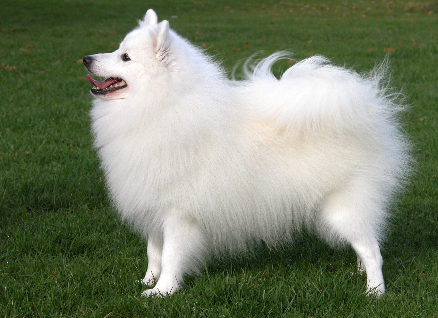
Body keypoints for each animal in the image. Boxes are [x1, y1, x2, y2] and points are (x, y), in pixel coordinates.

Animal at [84, 9, 408, 298]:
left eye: (125, 57)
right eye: (118, 49)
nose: (86, 59)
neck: (162, 106)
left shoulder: (178, 213)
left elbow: (172, 255)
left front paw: (163, 291)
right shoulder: (152, 202)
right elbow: (154, 252)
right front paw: (147, 281)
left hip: (342, 207)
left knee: (372, 248)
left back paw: (374, 291)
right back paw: (359, 273)